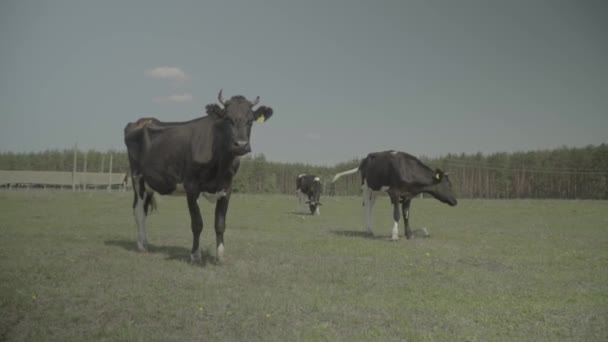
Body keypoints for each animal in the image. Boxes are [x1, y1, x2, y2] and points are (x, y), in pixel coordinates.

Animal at [123, 89, 274, 264]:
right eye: (228, 119)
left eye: (251, 121)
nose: (241, 145)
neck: (220, 165)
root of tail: (141, 121)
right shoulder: (191, 186)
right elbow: (197, 223)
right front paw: (195, 255)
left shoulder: (227, 188)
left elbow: (220, 223)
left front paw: (220, 256)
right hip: (137, 177)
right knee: (138, 211)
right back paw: (141, 246)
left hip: (149, 183)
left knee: (145, 210)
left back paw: (146, 243)